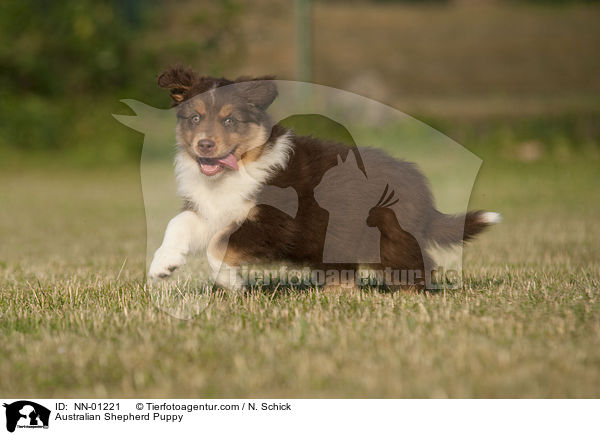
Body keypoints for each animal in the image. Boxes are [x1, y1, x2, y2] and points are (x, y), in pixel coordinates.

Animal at [150, 65, 502, 290]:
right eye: (195, 118)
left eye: (230, 120)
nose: (204, 145)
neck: (236, 170)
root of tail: (421, 192)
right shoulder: (210, 209)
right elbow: (178, 223)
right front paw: (163, 264)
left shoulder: (278, 223)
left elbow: (219, 244)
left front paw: (230, 282)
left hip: (388, 237)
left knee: (418, 267)